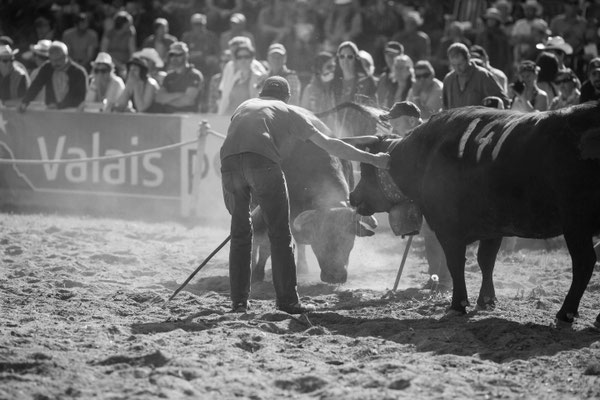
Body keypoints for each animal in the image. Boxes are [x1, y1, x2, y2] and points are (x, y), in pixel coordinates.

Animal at [346, 103, 600, 324]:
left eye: (366, 169)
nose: (352, 196)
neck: (426, 153)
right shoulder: (493, 228)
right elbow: (486, 261)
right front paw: (486, 299)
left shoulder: (449, 231)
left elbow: (456, 263)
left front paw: (458, 304)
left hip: (576, 226)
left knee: (584, 263)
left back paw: (566, 313)